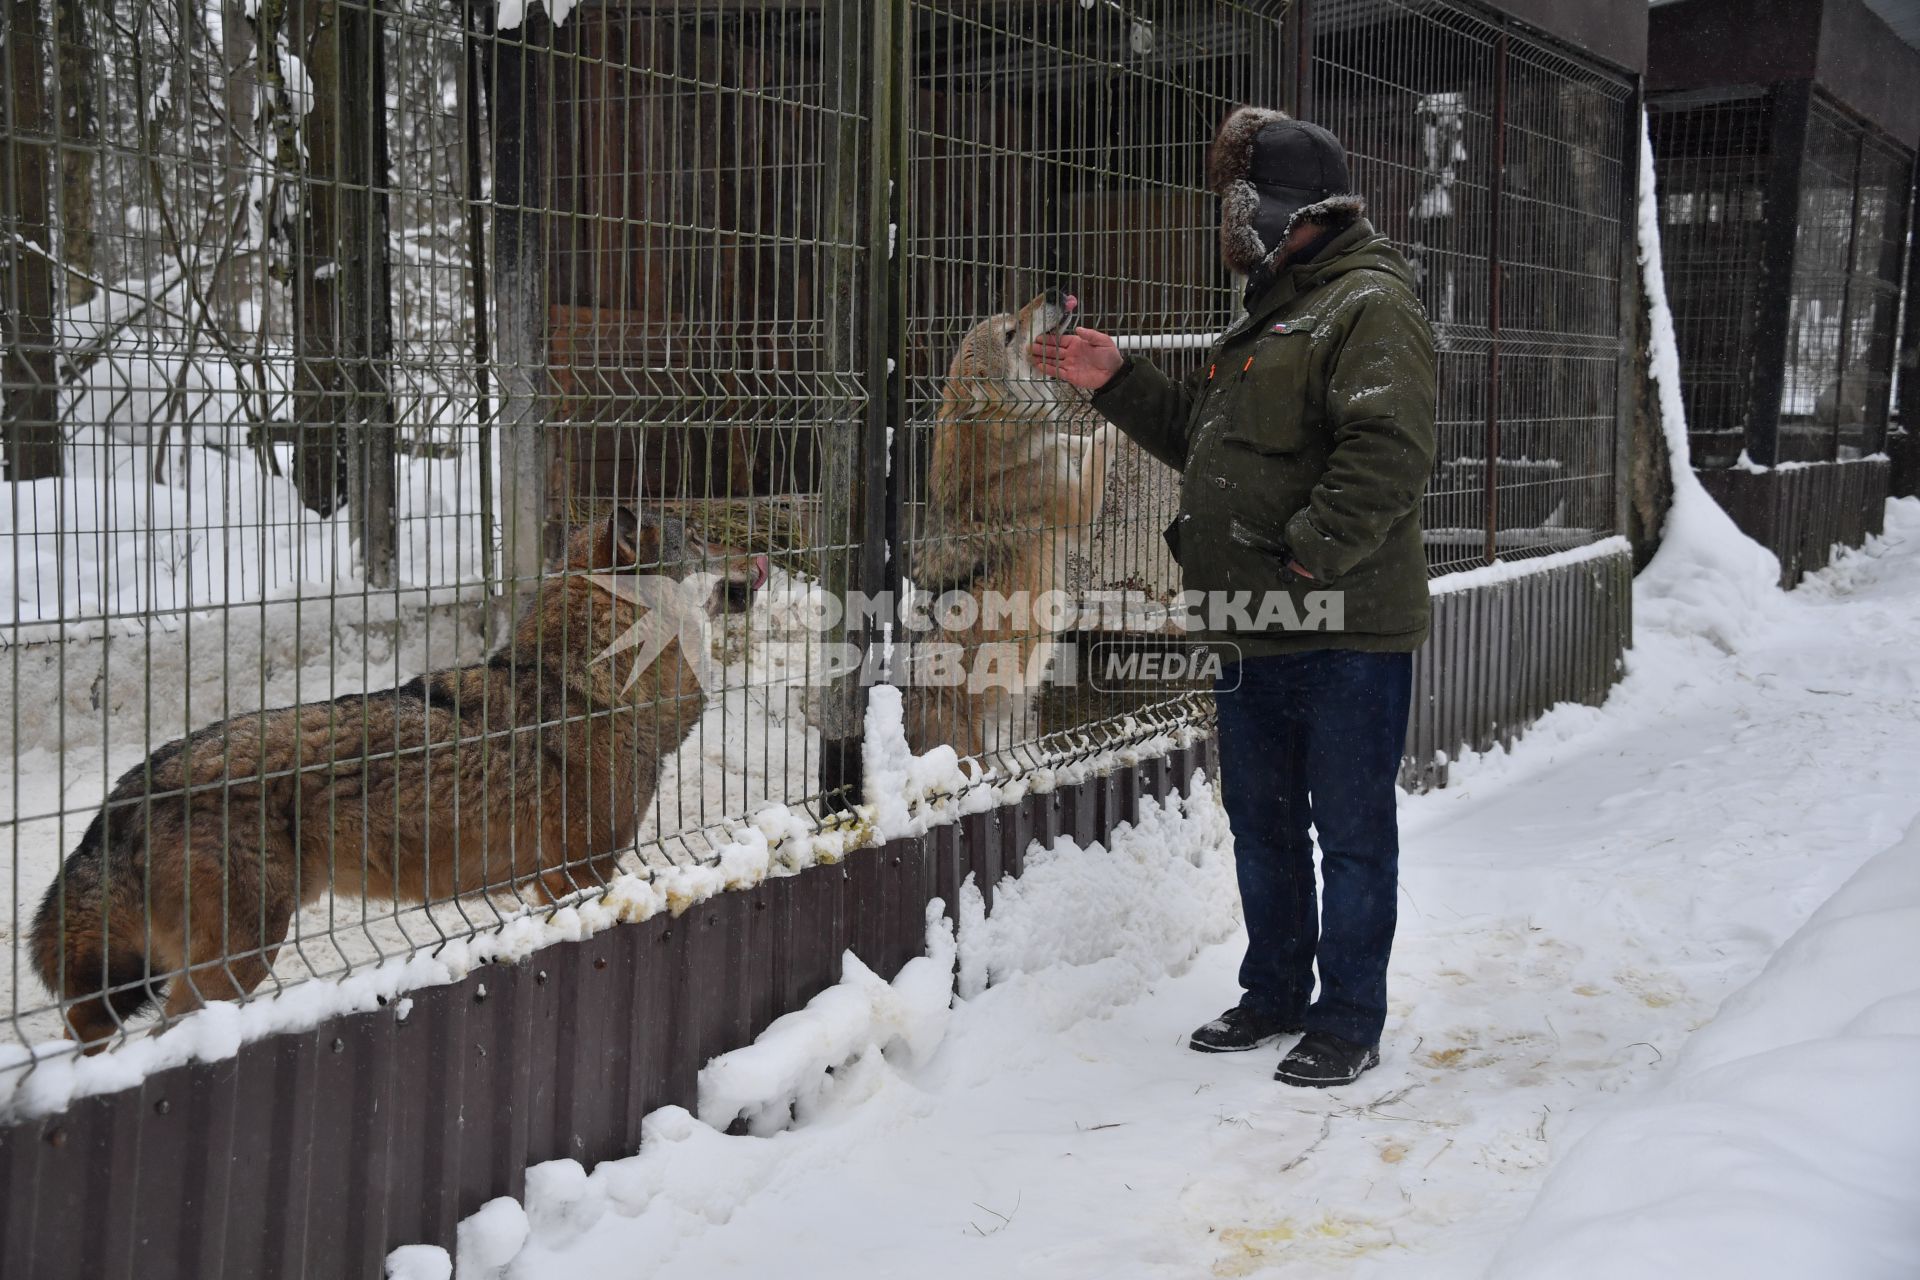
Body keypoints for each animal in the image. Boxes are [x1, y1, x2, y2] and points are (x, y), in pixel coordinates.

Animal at [30, 506, 764, 1051]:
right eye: (702, 539)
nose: (761, 557)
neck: (592, 680)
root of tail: (130, 789)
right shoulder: (579, 871)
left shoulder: (554, 878)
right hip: (238, 961)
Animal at [902, 285, 1121, 756]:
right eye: (1008, 334)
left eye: (1013, 318)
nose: (1056, 290)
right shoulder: (1079, 512)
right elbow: (1098, 441)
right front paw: (1116, 427)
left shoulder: (1056, 453)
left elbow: (1068, 438)